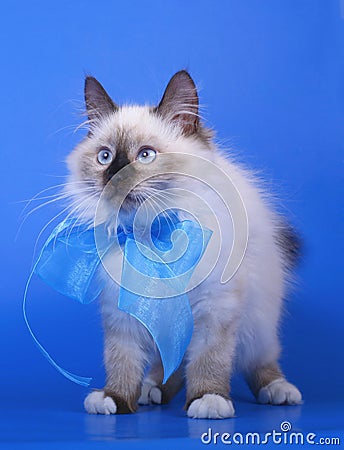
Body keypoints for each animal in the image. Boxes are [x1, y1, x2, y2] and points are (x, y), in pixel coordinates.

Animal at [63, 70, 300, 418]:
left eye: (146, 156)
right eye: (104, 157)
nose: (114, 176)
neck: (153, 232)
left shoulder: (215, 308)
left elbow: (209, 361)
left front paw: (208, 399)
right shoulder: (122, 313)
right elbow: (122, 360)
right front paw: (115, 399)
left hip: (258, 324)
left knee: (259, 361)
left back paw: (279, 390)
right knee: (170, 366)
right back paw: (151, 389)